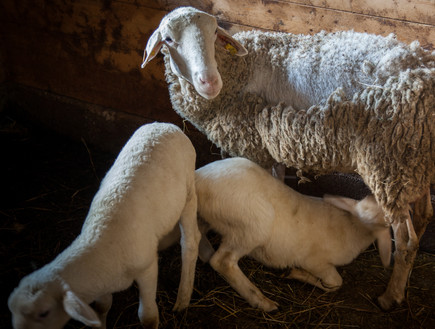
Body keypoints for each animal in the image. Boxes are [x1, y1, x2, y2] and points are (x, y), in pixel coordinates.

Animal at [7, 121, 201, 326]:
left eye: (44, 313)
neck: (100, 239)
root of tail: (166, 125)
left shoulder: (147, 268)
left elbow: (147, 316)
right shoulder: (102, 282)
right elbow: (102, 307)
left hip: (188, 192)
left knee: (190, 243)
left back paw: (183, 299)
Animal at [196, 156, 394, 310]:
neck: (352, 227)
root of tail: (198, 180)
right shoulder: (316, 262)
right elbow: (335, 283)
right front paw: (297, 274)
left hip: (209, 217)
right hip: (250, 226)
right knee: (223, 261)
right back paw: (263, 302)